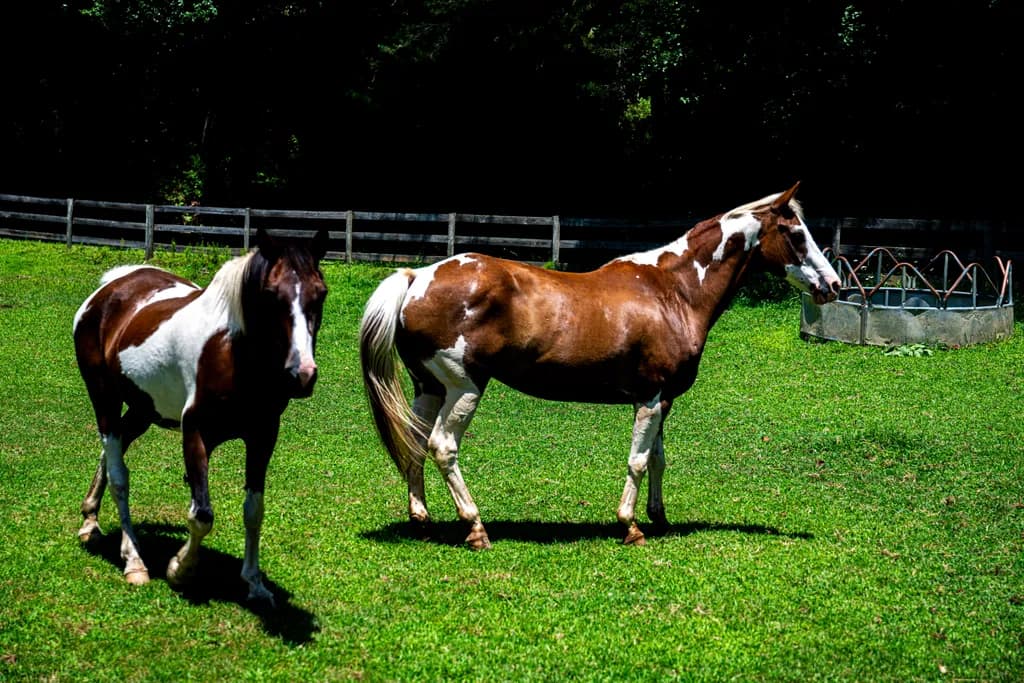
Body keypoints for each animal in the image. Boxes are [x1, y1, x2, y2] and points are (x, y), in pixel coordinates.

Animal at [73, 229, 328, 604]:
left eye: (320, 293)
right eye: (271, 295)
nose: (302, 375)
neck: (233, 354)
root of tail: (109, 289)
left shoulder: (263, 434)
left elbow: (254, 510)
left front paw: (254, 583)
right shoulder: (194, 432)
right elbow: (202, 515)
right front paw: (180, 570)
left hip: (142, 409)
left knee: (111, 452)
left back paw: (90, 520)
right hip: (104, 398)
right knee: (120, 475)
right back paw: (134, 560)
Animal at [359, 182, 840, 549]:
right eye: (796, 234)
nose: (833, 285)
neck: (674, 292)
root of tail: (417, 277)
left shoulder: (663, 401)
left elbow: (658, 459)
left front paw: (659, 517)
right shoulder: (650, 398)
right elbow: (638, 461)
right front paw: (630, 526)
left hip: (429, 388)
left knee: (414, 444)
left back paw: (422, 520)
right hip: (465, 389)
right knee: (442, 447)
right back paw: (475, 528)